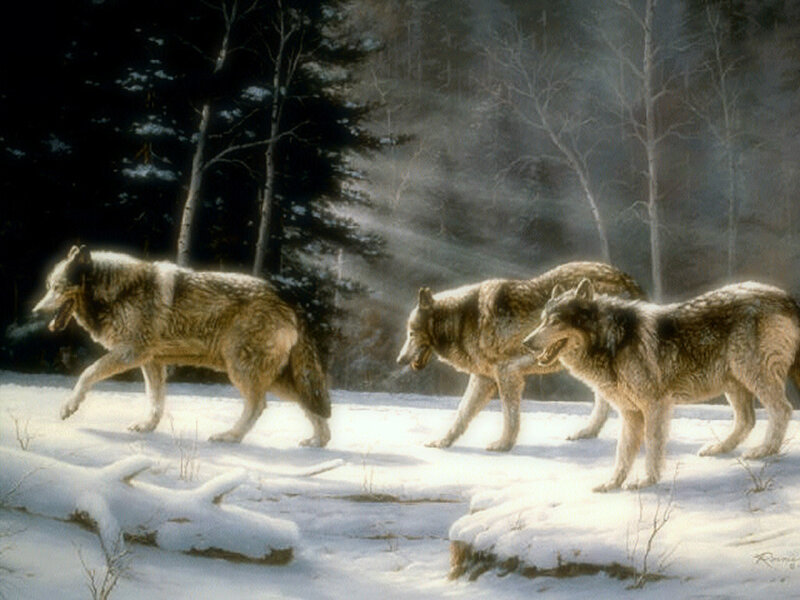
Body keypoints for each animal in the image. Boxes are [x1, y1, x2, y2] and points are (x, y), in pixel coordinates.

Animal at [32, 245, 331, 447]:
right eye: (48, 286)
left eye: (57, 287)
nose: (35, 311)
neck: (118, 292)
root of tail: (289, 301)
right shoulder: (151, 361)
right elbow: (155, 401)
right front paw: (146, 427)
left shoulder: (130, 353)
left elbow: (86, 374)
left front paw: (68, 407)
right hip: (277, 379)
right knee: (311, 406)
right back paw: (319, 441)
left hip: (242, 371)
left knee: (258, 406)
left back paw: (230, 436)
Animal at [396, 262, 645, 451]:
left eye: (411, 333)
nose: (399, 360)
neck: (463, 319)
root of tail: (628, 280)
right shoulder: (484, 379)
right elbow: (461, 414)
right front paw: (443, 442)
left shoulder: (507, 374)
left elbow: (510, 417)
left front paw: (503, 445)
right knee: (604, 403)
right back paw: (587, 432)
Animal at [523, 279, 800, 491]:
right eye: (542, 320)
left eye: (555, 322)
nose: (526, 342)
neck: (613, 339)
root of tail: (786, 296)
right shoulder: (630, 413)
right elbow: (623, 452)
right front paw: (612, 484)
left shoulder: (655, 406)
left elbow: (653, 446)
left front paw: (646, 481)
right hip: (733, 382)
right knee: (747, 420)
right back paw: (720, 448)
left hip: (751, 375)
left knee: (782, 410)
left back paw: (765, 451)